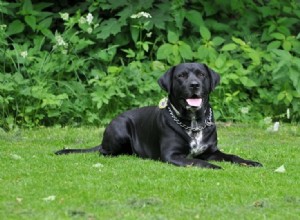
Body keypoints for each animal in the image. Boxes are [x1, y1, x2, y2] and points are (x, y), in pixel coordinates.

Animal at [55, 62, 262, 169]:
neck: (194, 122)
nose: (194, 85)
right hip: (120, 129)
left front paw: (249, 162)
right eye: (181, 76)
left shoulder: (212, 151)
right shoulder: (172, 155)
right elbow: (195, 160)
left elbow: (233, 156)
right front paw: (213, 167)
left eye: (201, 74)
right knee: (104, 152)